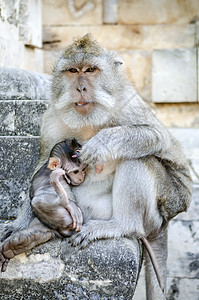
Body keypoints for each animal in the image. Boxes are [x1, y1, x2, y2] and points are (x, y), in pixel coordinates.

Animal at [0, 34, 192, 298]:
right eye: (73, 71)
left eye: (91, 70)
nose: (80, 87)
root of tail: (164, 223)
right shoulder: (52, 117)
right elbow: (42, 166)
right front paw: (18, 224)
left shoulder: (127, 102)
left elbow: (155, 135)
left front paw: (101, 142)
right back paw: (31, 235)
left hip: (161, 207)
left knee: (138, 158)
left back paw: (121, 225)